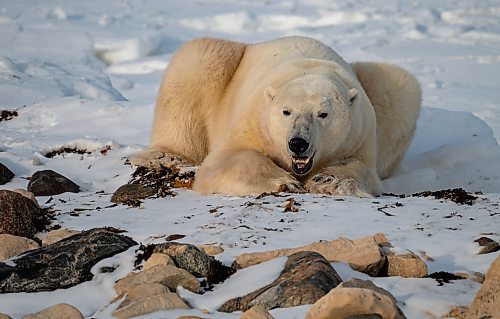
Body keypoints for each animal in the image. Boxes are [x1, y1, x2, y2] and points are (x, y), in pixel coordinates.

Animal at [133, 37, 422, 198]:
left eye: (323, 114)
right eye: (286, 111)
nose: (298, 143)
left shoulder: (359, 135)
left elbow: (359, 168)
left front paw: (326, 181)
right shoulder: (254, 120)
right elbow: (228, 159)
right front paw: (284, 183)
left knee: (398, 85)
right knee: (196, 60)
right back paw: (168, 156)